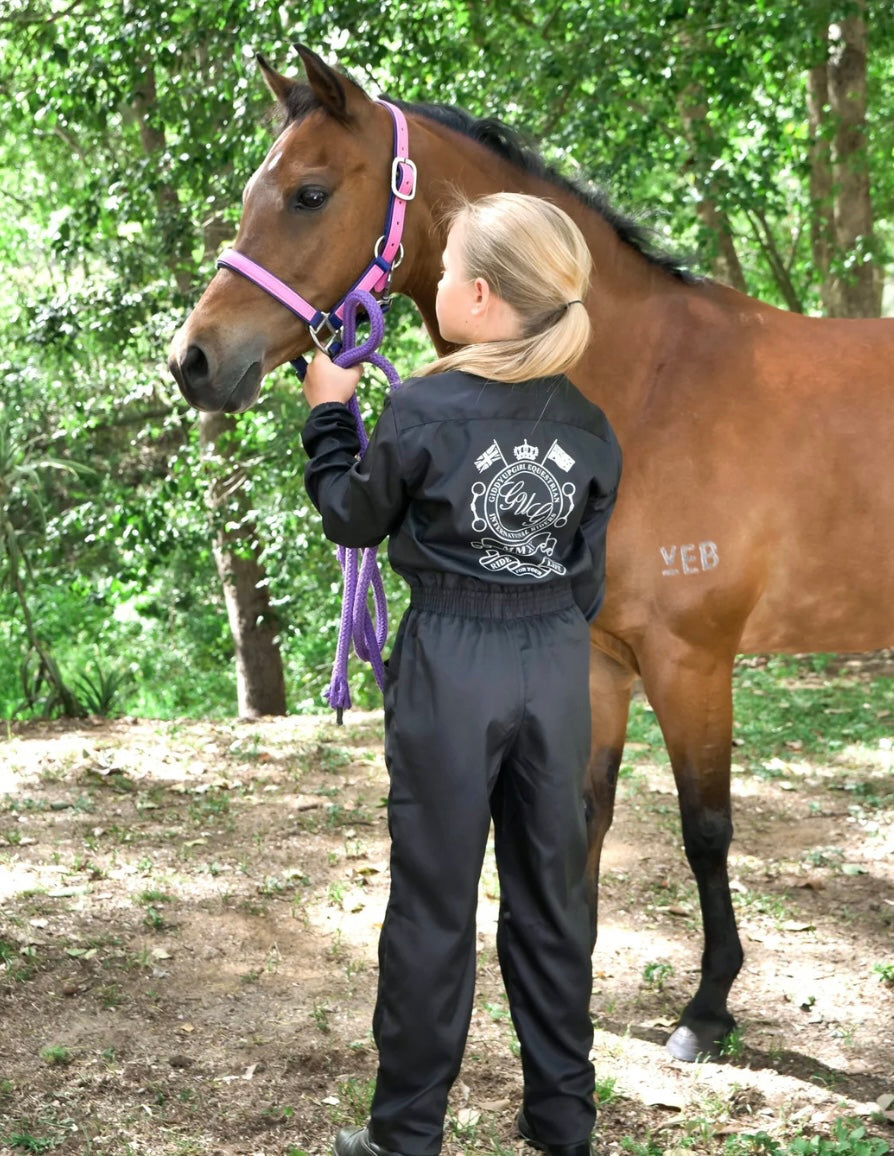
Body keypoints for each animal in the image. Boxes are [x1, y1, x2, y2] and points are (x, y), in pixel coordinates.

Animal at [168, 45, 894, 1062]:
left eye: (309, 194)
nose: (192, 360)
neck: (646, 382)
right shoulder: (595, 660)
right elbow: (579, 814)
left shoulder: (692, 662)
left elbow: (705, 828)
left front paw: (707, 1010)